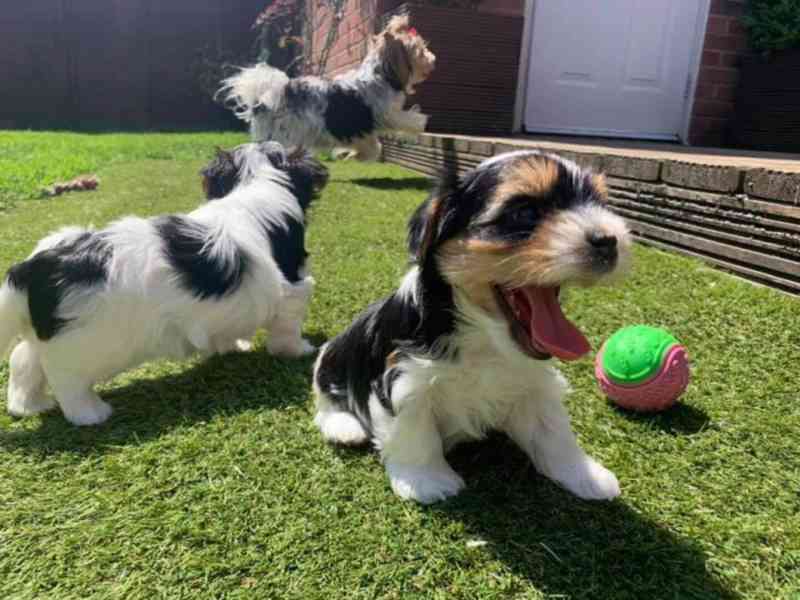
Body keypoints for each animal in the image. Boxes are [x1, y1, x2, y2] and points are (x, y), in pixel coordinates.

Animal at [0, 141, 326, 424]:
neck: (256, 181)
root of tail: (33, 266)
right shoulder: (293, 288)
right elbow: (287, 329)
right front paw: (299, 350)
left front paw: (233, 346)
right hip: (82, 346)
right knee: (64, 378)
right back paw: (90, 413)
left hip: (49, 333)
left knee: (23, 358)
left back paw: (28, 405)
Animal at [220, 15, 438, 162]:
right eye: (419, 51)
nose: (433, 58)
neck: (380, 74)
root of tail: (265, 100)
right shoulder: (386, 116)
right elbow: (408, 120)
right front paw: (421, 124)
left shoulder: (358, 129)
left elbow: (370, 147)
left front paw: (352, 154)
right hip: (284, 134)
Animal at [312, 149, 632, 502]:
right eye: (524, 212)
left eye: (600, 203)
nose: (608, 240)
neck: (485, 337)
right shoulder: (401, 375)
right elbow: (413, 431)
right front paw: (427, 481)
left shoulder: (533, 382)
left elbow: (553, 431)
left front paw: (585, 475)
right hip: (331, 358)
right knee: (325, 401)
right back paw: (345, 428)